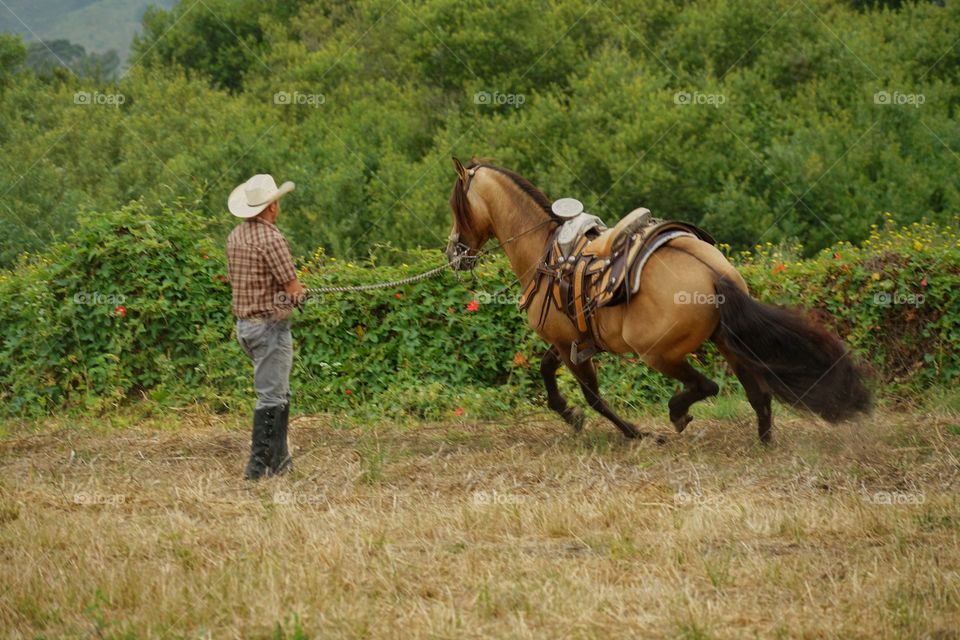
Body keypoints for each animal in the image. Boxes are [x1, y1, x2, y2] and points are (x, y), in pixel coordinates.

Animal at [446, 158, 872, 442]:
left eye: (455, 205)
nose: (453, 253)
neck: (546, 252)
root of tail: (713, 274)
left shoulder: (568, 346)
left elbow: (592, 395)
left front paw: (633, 432)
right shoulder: (568, 341)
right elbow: (549, 373)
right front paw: (570, 415)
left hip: (658, 354)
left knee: (707, 386)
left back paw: (677, 414)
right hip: (726, 341)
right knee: (757, 393)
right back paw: (764, 441)